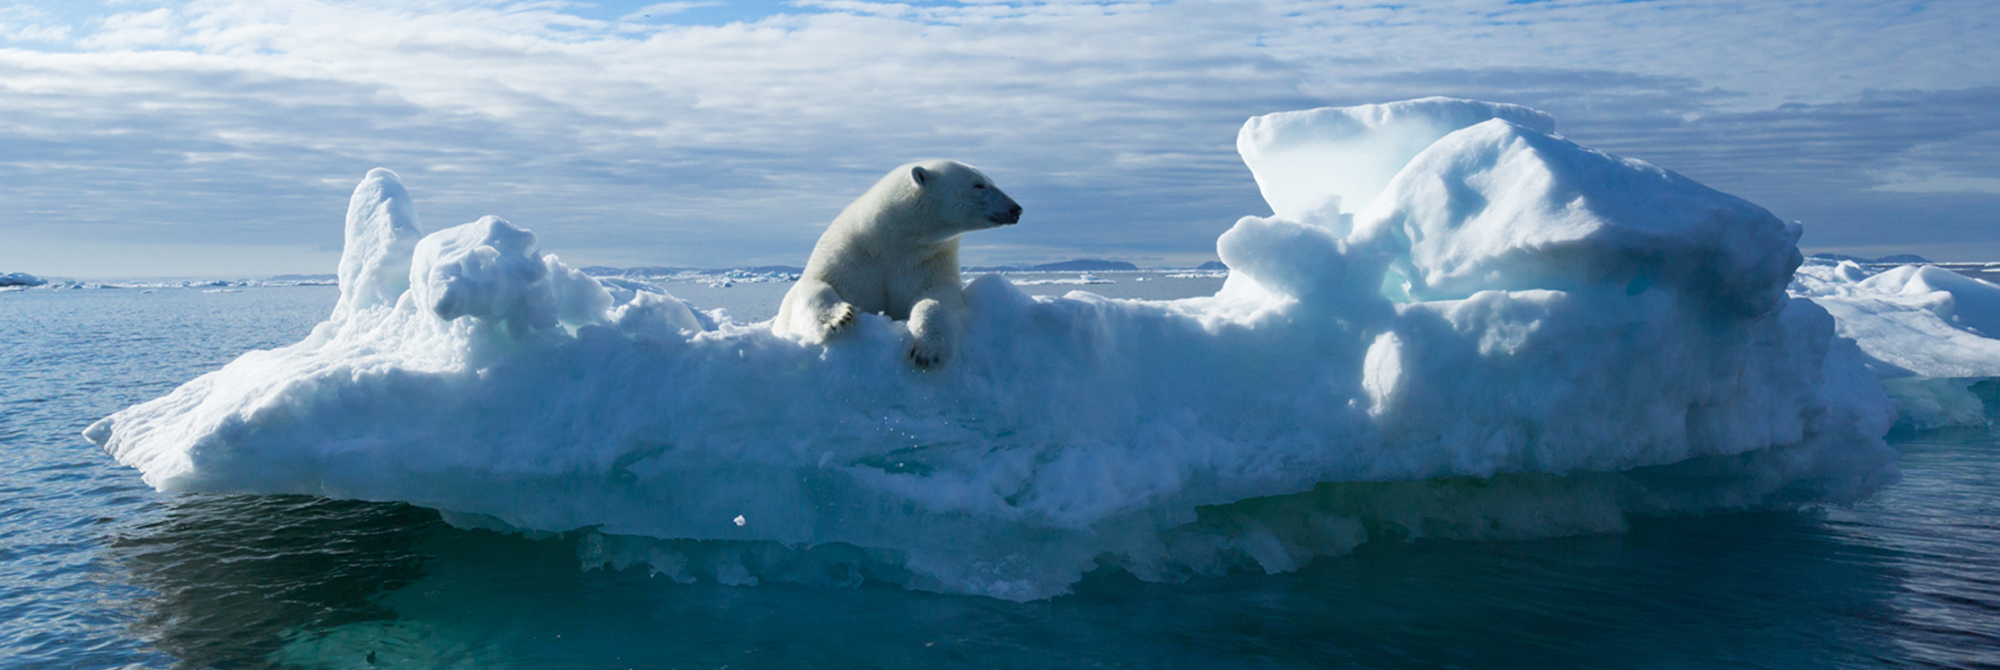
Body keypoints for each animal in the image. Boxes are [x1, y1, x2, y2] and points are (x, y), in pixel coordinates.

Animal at [772, 160, 1024, 370]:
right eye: (979, 184)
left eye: (991, 181)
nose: (1016, 208)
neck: (893, 242)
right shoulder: (851, 256)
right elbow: (815, 285)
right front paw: (838, 318)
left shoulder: (929, 260)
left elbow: (938, 297)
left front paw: (926, 350)